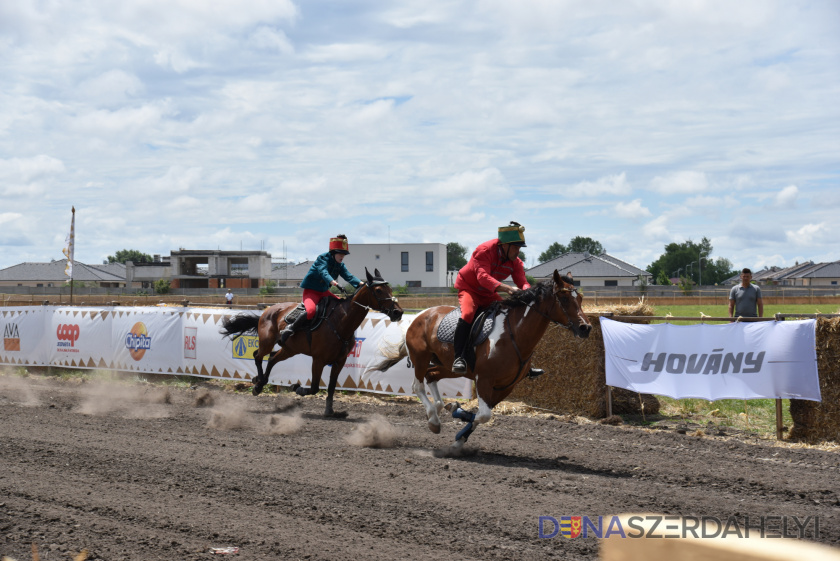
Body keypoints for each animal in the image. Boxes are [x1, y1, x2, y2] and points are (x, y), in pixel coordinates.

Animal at [220, 266, 404, 416]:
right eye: (379, 290)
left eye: (389, 288)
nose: (398, 312)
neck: (341, 322)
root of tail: (267, 310)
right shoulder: (318, 360)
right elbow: (315, 387)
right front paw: (297, 388)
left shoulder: (340, 361)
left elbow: (331, 387)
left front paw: (330, 410)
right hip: (267, 342)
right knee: (258, 356)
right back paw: (258, 384)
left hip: (290, 349)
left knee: (271, 358)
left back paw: (261, 380)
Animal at [368, 270, 592, 446]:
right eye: (564, 299)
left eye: (580, 299)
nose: (586, 328)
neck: (515, 333)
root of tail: (419, 316)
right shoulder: (484, 379)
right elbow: (484, 415)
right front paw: (459, 427)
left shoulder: (506, 386)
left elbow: (481, 415)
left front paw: (460, 421)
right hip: (421, 359)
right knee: (418, 386)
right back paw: (433, 419)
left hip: (448, 366)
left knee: (432, 376)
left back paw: (440, 409)